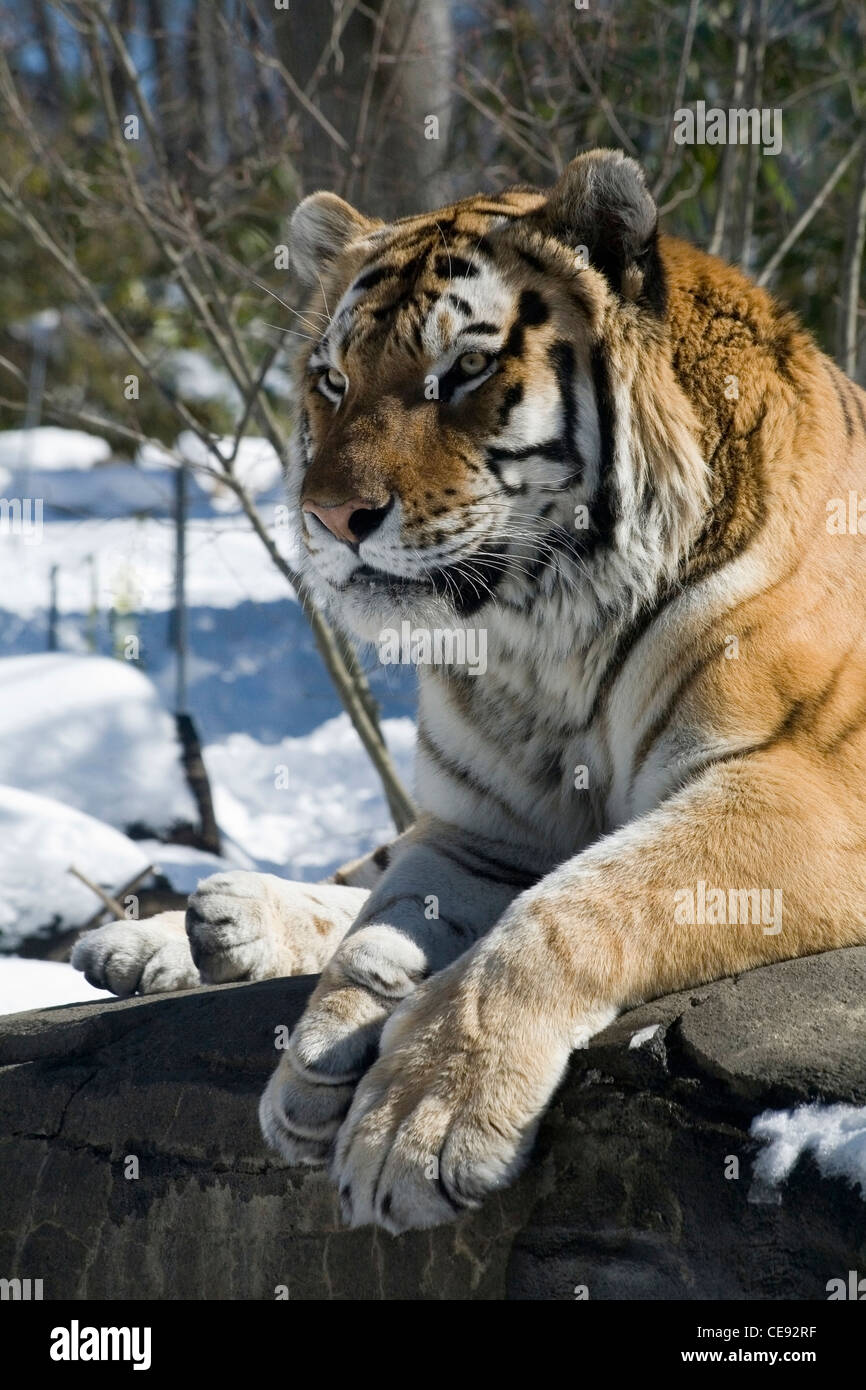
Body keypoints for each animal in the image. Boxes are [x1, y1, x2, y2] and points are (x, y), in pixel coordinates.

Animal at [72, 149, 866, 1239]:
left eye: (461, 375)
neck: (542, 633)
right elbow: (382, 923)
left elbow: (561, 908)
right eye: (331, 380)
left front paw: (420, 1117)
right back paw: (173, 931)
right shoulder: (474, 828)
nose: (329, 515)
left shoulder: (802, 787)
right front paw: (321, 1060)